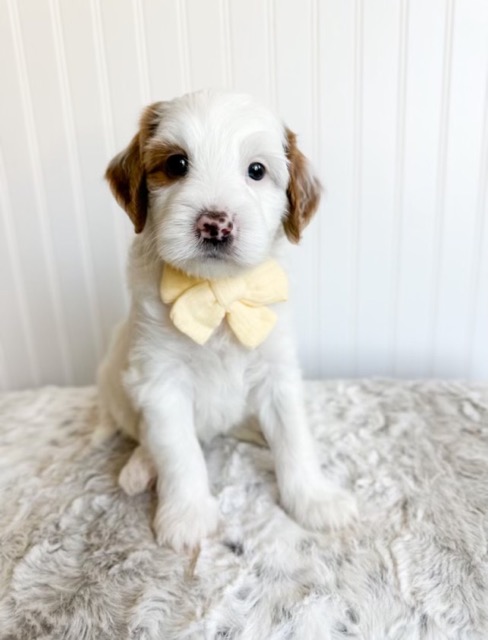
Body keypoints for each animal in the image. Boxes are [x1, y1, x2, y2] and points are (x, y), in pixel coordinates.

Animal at [97, 89, 356, 552]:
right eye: (176, 164)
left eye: (257, 170)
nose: (215, 224)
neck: (217, 292)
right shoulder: (160, 380)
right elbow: (178, 451)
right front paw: (187, 516)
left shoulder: (276, 371)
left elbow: (294, 438)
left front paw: (313, 499)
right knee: (146, 436)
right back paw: (140, 467)